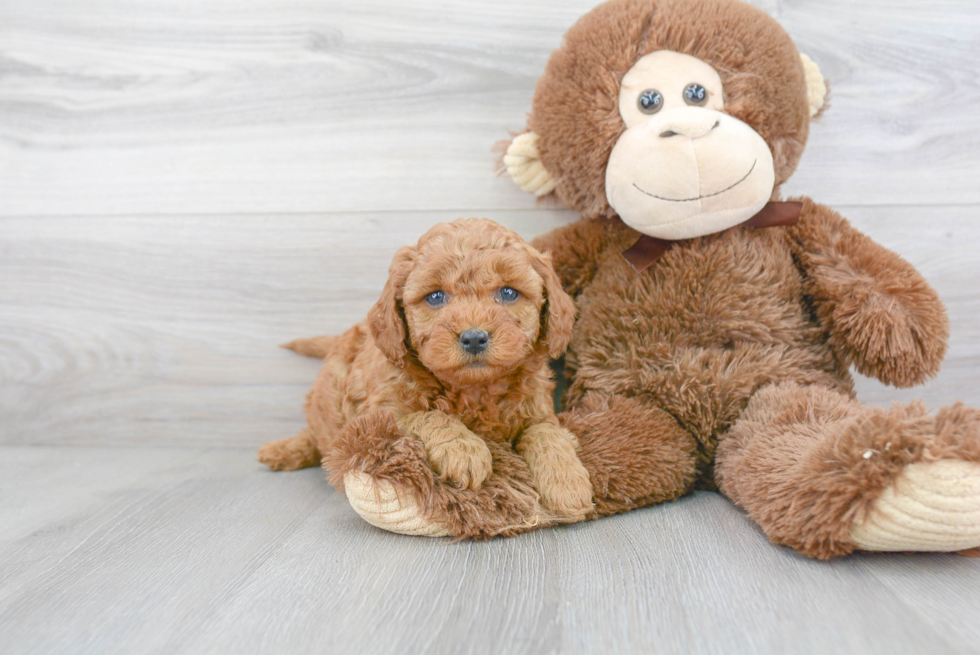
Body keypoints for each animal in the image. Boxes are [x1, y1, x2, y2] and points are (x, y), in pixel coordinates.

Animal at [256, 220, 592, 524]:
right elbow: (426, 415)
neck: (475, 389)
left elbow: (545, 432)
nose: (473, 337)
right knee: (316, 436)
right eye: (435, 297)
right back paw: (282, 450)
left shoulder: (539, 410)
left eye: (509, 293)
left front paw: (568, 483)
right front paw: (463, 449)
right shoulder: (375, 416)